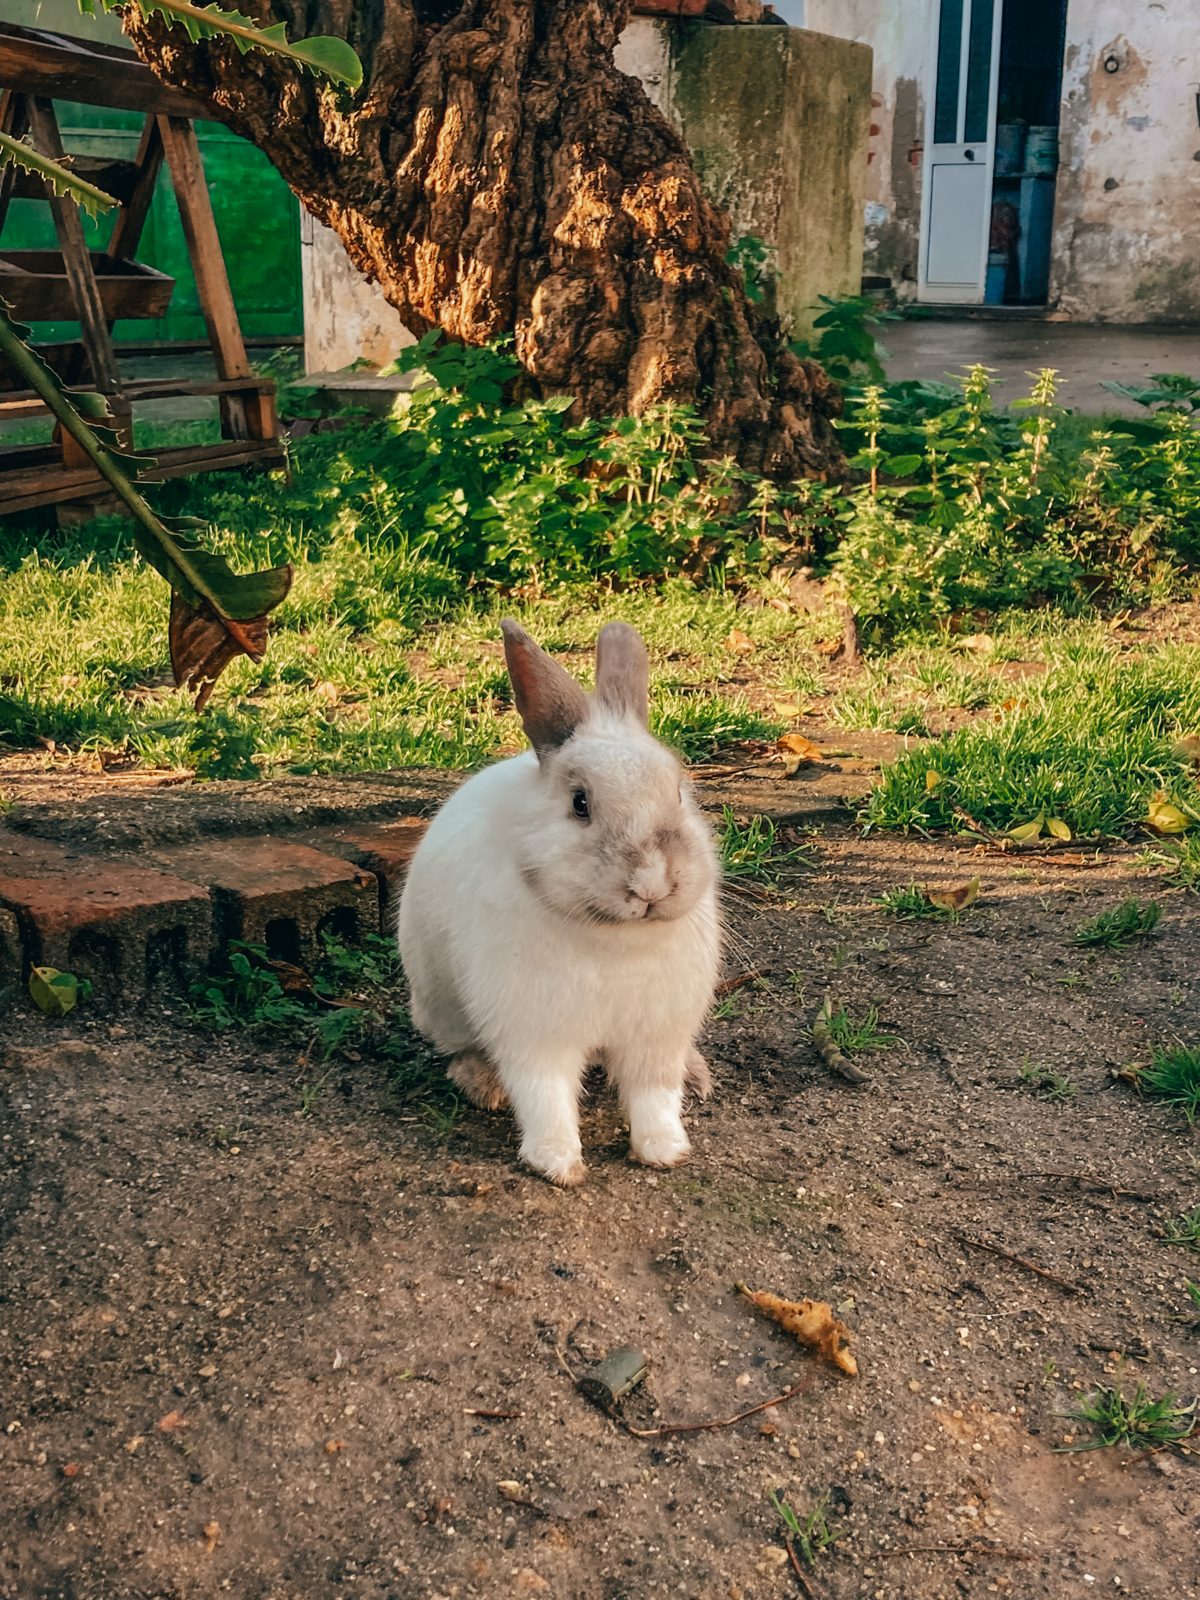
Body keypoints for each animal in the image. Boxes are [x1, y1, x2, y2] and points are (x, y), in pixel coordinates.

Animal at [397, 619, 722, 1186]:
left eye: (679, 793)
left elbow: (654, 1095)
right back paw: (483, 1083)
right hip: (441, 1004)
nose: (652, 885)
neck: (615, 937)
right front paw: (558, 1164)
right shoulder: (537, 1033)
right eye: (580, 804)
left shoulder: (656, 1034)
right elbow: (544, 1096)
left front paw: (665, 1151)